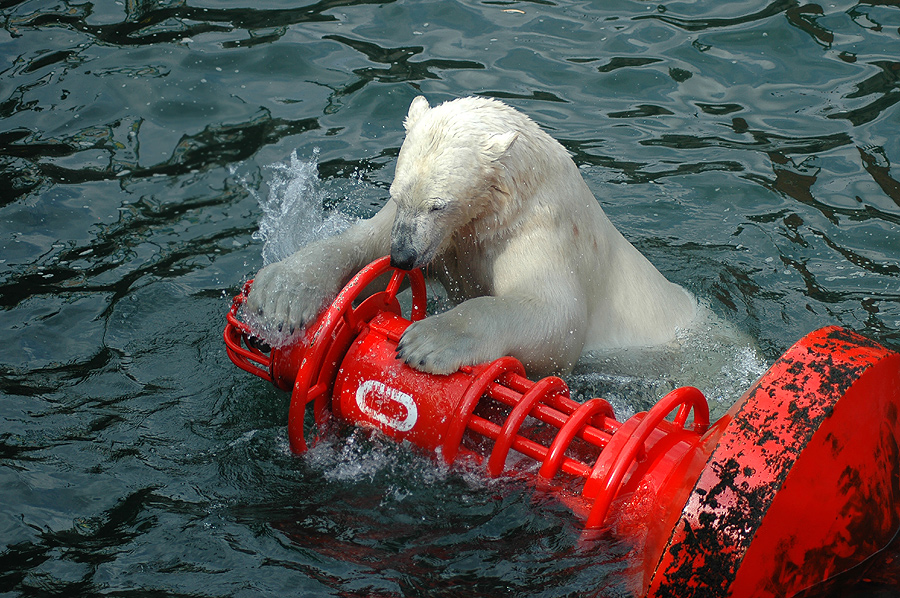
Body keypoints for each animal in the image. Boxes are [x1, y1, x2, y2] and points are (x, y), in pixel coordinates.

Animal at [246, 97, 696, 380]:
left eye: (438, 204)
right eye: (397, 193)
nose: (403, 256)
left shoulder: (539, 230)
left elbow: (555, 315)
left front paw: (425, 341)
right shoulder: (444, 239)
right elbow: (365, 246)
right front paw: (280, 296)